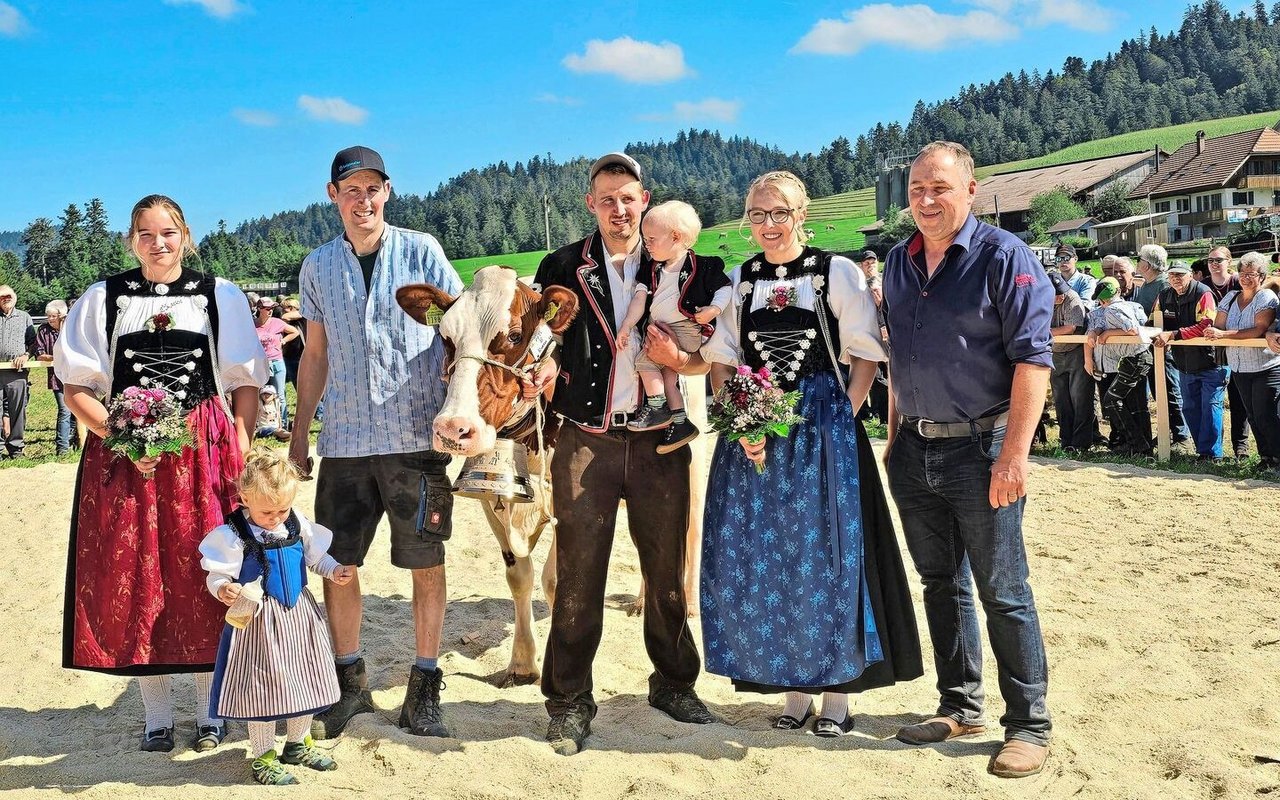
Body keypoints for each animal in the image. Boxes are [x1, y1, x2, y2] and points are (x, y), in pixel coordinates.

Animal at [396, 264, 578, 680]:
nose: (453, 428)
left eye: (514, 335)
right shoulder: (490, 494)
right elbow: (520, 576)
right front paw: (523, 661)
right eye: (445, 337)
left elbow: (556, 579)